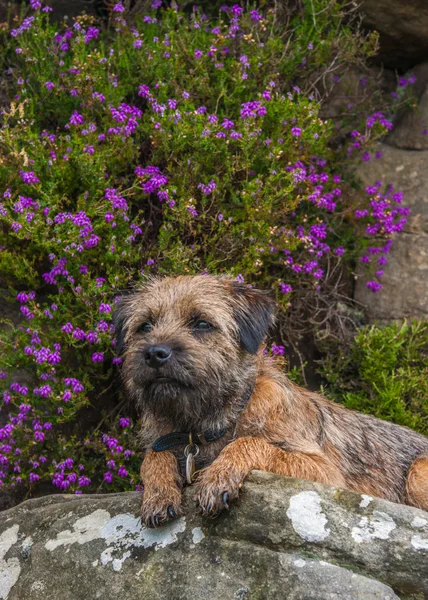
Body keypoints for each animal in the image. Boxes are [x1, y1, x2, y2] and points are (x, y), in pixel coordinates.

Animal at [113, 274, 428, 528]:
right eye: (145, 326)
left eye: (202, 323)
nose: (155, 353)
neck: (210, 421)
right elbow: (154, 455)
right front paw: (159, 492)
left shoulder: (325, 473)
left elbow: (251, 442)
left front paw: (218, 476)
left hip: (416, 474)